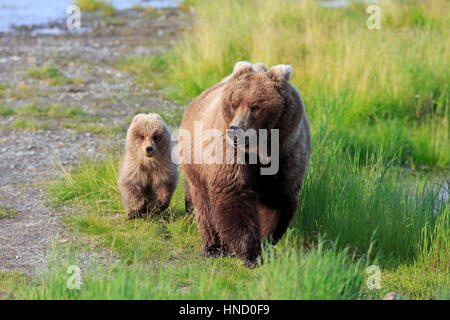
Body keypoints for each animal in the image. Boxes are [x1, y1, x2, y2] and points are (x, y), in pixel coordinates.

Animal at [178, 61, 310, 266]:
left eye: (255, 106)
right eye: (234, 103)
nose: (235, 131)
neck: (261, 150)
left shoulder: (288, 154)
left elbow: (278, 200)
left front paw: (264, 242)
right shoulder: (231, 154)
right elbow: (234, 193)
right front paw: (251, 253)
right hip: (196, 162)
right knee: (204, 205)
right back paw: (213, 247)